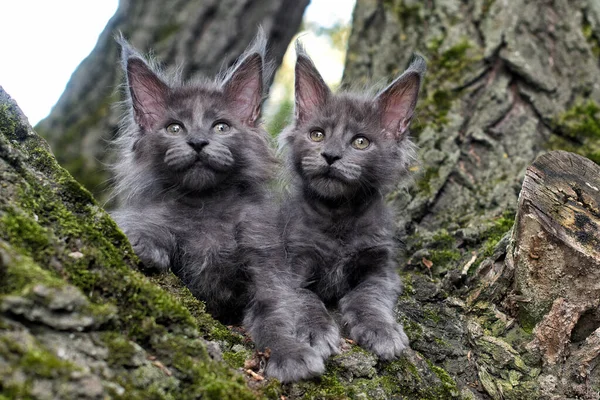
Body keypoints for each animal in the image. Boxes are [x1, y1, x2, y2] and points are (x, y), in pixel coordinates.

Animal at [110, 32, 278, 324]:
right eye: (174, 128)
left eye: (221, 127)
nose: (198, 142)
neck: (206, 207)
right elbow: (142, 225)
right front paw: (145, 246)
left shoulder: (261, 245)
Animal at [276, 44, 426, 366]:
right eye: (317, 135)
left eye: (360, 142)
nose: (330, 155)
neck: (339, 215)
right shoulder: (290, 263)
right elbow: (306, 298)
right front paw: (315, 333)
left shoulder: (381, 269)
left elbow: (368, 298)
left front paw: (382, 332)